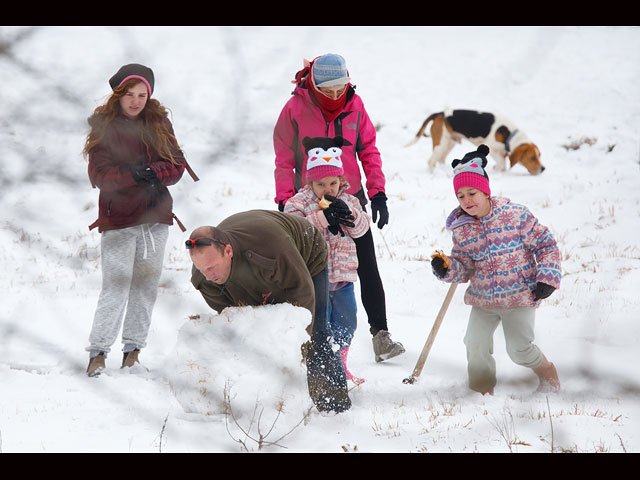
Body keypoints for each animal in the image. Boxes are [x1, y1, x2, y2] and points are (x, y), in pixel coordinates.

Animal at [408, 109, 544, 174]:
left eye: (539, 155)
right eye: (532, 158)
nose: (543, 169)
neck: (509, 134)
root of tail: (440, 113)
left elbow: (503, 164)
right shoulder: (492, 148)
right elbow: (501, 164)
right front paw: (496, 170)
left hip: (449, 143)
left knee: (440, 160)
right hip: (441, 144)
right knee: (431, 162)